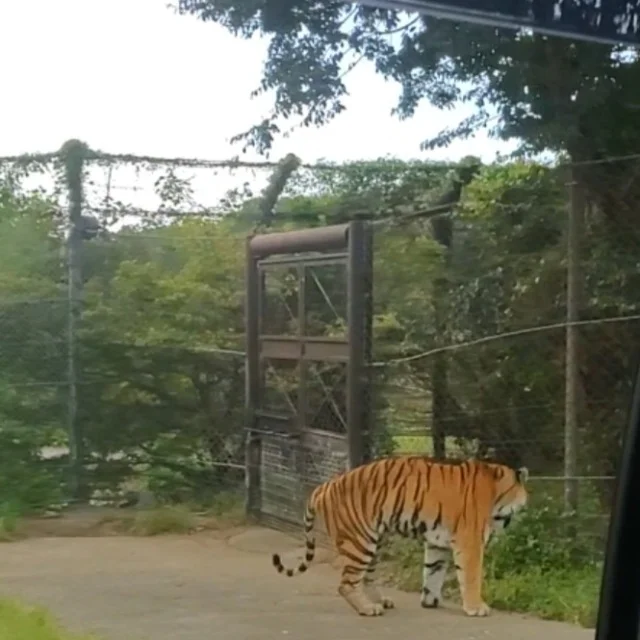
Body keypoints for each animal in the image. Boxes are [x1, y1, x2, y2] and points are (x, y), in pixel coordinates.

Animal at [272, 456, 528, 616]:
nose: (522, 517)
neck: (496, 491)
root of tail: (324, 485)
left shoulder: (438, 543)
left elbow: (433, 572)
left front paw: (429, 601)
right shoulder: (470, 543)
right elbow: (471, 577)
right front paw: (476, 607)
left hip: (373, 541)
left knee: (365, 578)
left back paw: (380, 601)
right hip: (359, 542)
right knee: (346, 583)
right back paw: (368, 609)